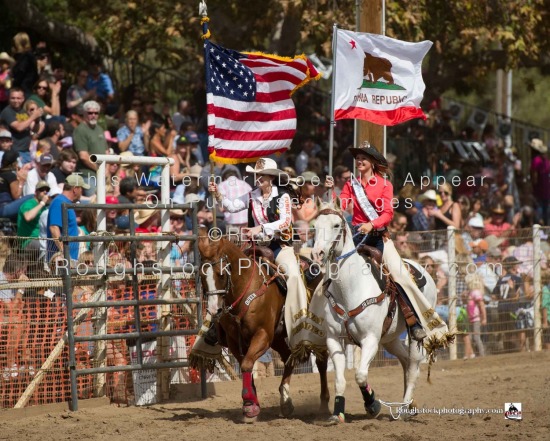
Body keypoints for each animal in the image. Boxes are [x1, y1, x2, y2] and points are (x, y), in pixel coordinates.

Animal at [312, 201, 438, 424]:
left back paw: (403, 409)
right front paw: (337, 414)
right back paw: (410, 404)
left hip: (416, 335)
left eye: (336, 225)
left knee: (413, 366)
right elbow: (339, 380)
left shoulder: (370, 339)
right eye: (315, 226)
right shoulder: (334, 339)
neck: (349, 288)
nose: (317, 253)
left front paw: (372, 405)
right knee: (405, 362)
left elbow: (360, 375)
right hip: (389, 338)